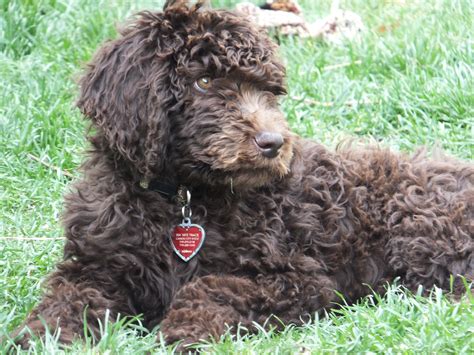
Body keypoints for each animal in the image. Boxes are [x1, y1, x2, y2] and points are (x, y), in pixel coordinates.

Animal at [12, 0, 474, 350]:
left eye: (268, 91)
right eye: (203, 81)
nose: (273, 143)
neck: (181, 197)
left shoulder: (299, 278)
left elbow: (212, 286)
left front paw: (183, 330)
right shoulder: (96, 264)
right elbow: (69, 298)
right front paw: (41, 335)